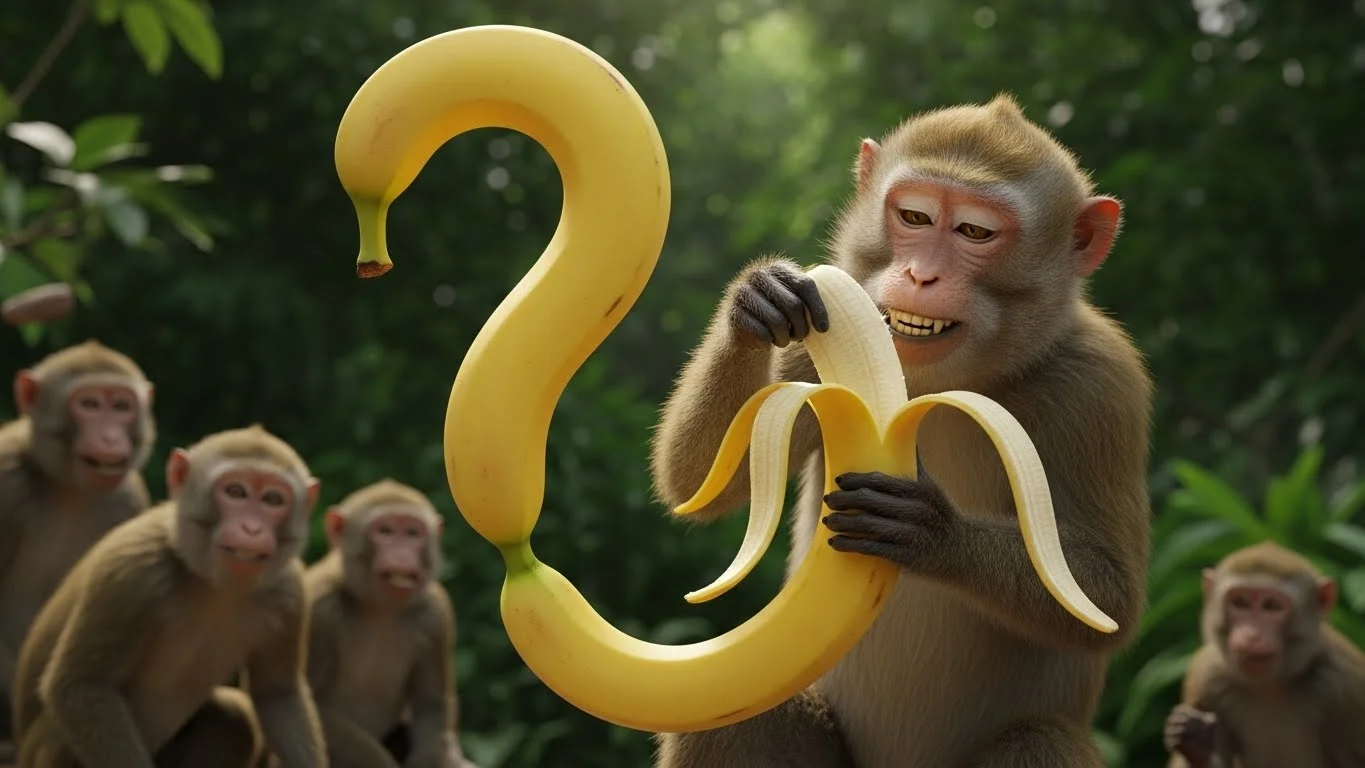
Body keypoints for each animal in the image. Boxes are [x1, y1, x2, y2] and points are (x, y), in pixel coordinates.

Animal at [0, 340, 156, 760]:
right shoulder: (7, 481)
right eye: (89, 404)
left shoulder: (127, 501)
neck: (68, 487)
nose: (111, 436)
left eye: (121, 406)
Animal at [10, 425, 327, 767]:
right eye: (235, 491)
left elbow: (277, 695)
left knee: (232, 719)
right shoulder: (133, 573)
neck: (213, 585)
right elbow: (81, 685)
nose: (252, 529)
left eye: (272, 499)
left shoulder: (289, 591)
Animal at [302, 479, 476, 768]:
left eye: (412, 533)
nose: (402, 551)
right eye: (385, 531)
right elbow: (307, 706)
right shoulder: (318, 609)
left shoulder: (435, 611)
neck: (379, 609)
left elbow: (431, 703)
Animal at [649, 93, 1153, 767]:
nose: (920, 275)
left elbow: (1107, 599)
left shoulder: (1101, 386)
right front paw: (756, 300)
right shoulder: (827, 323)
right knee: (739, 711)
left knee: (1038, 740)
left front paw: (930, 530)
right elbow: (698, 483)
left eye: (974, 232)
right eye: (915, 216)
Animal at [1163, 540, 1365, 768]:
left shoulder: (1345, 685)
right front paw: (1198, 746)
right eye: (1240, 602)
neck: (1271, 686)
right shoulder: (1206, 677)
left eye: (1272, 606)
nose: (1252, 634)